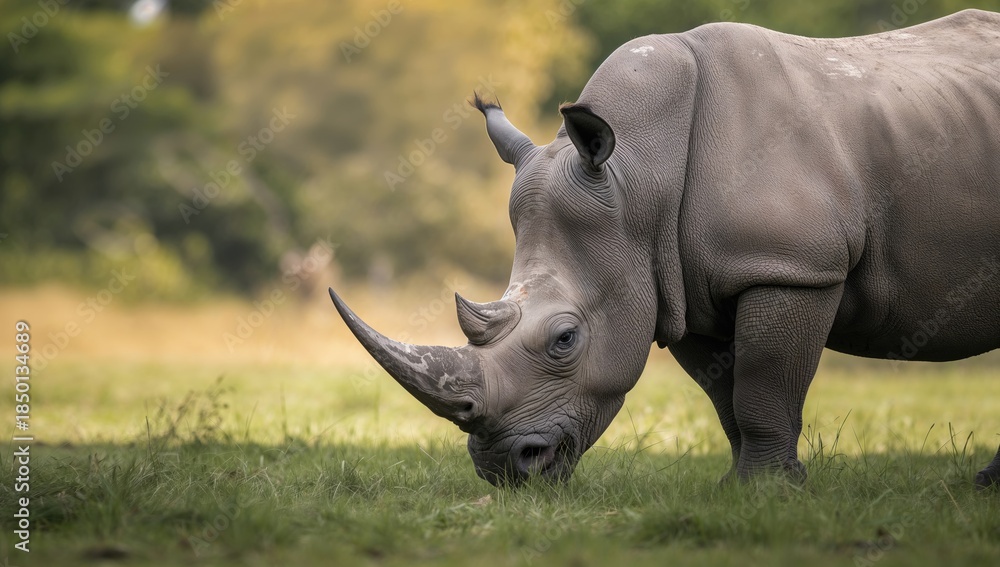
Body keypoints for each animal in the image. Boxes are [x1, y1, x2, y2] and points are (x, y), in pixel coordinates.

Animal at [330, 9, 1000, 488]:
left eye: (565, 339)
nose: (505, 470)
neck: (635, 177)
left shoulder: (792, 265)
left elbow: (763, 380)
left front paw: (767, 494)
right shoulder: (684, 286)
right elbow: (726, 393)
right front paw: (741, 489)